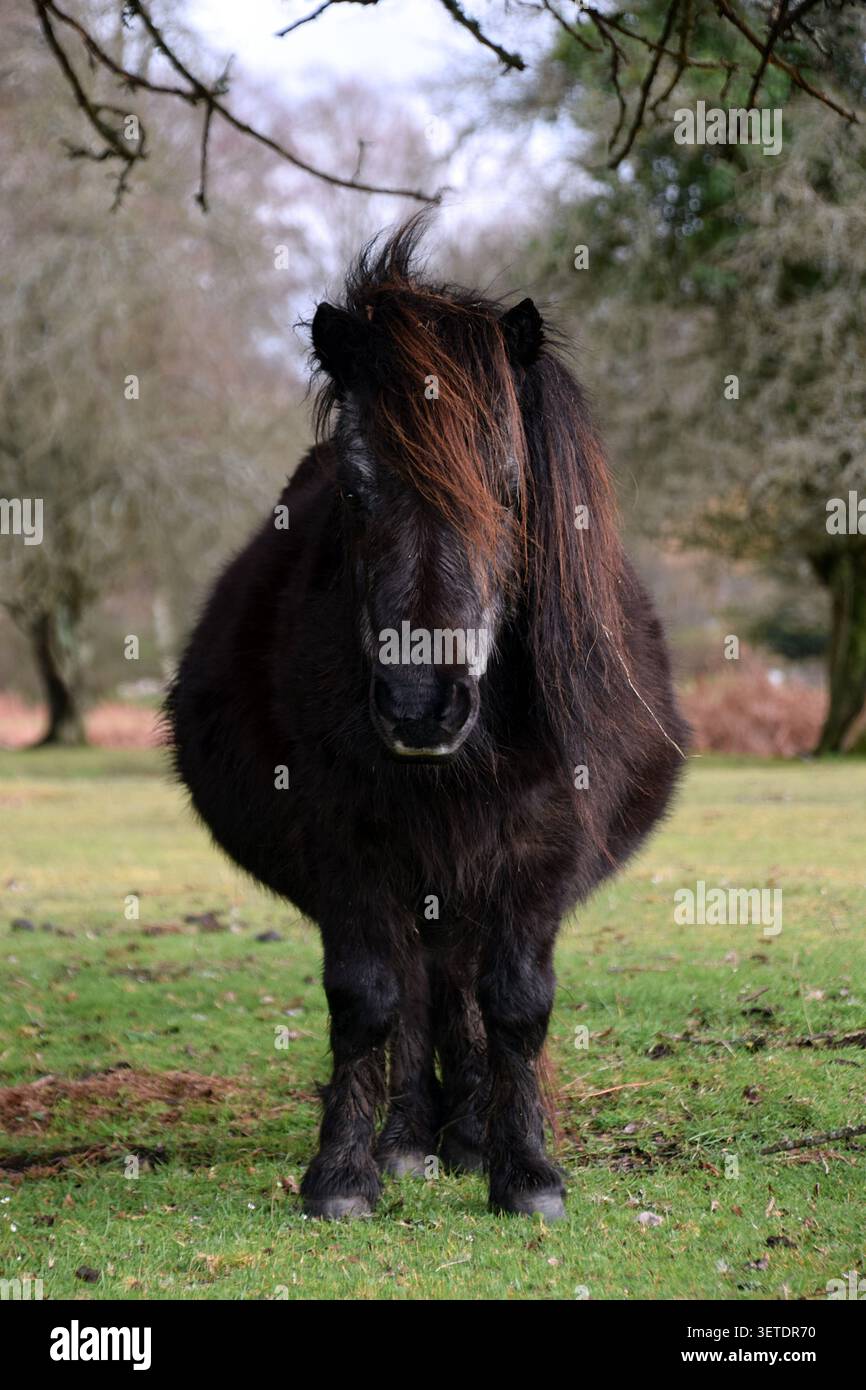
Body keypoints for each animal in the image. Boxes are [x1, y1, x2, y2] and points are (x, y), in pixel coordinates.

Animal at [167, 218, 689, 1221]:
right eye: (355, 490)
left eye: (508, 485)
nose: (420, 706)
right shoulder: (347, 845)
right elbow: (369, 1000)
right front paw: (343, 1175)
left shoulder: (542, 845)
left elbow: (516, 1002)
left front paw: (525, 1173)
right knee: (419, 989)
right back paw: (411, 1136)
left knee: (461, 990)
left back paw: (468, 1134)